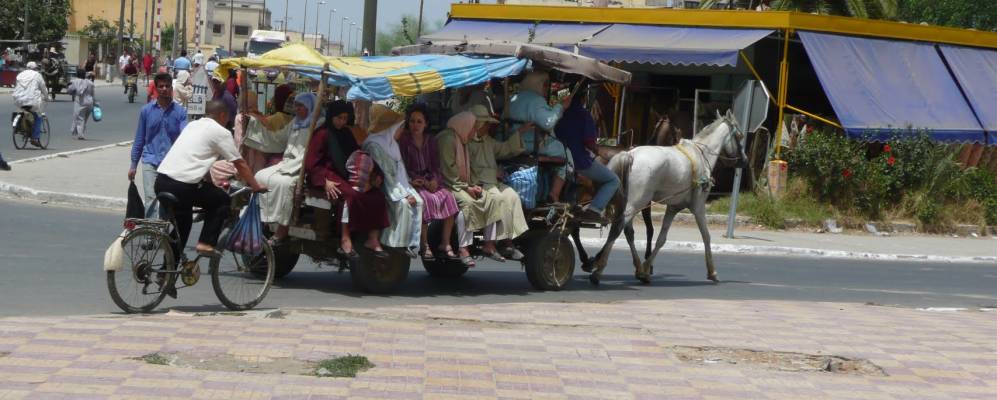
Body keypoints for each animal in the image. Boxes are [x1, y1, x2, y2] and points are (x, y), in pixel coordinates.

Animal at [584, 109, 748, 284]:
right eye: (739, 136)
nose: (745, 161)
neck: (700, 155)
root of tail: (630, 155)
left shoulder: (673, 208)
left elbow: (661, 239)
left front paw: (646, 269)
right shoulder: (698, 207)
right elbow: (706, 236)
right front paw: (712, 272)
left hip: (630, 203)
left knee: (627, 231)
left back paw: (628, 266)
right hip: (637, 203)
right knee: (617, 228)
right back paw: (599, 269)